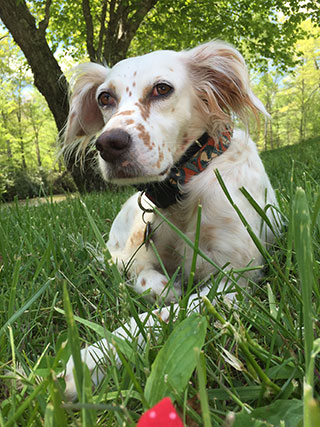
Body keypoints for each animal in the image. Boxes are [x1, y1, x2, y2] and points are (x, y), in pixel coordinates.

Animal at [62, 41, 278, 402]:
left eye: (162, 89)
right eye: (105, 98)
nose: (109, 144)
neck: (186, 187)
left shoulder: (236, 277)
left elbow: (171, 312)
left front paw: (92, 360)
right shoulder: (138, 255)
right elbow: (146, 281)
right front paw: (163, 288)